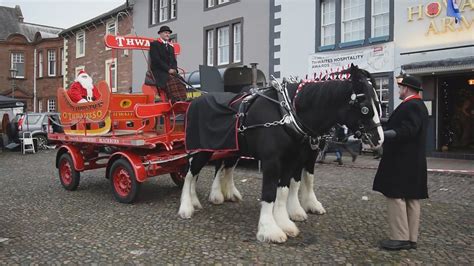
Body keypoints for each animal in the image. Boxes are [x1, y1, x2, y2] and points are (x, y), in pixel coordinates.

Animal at [180, 65, 384, 243]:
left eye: (379, 103)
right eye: (365, 106)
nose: (380, 140)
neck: (288, 114)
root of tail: (196, 100)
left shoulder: (296, 158)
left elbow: (288, 188)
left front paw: (287, 219)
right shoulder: (273, 161)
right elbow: (270, 192)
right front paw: (269, 229)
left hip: (232, 148)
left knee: (223, 168)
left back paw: (219, 195)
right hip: (203, 149)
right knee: (192, 173)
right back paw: (188, 206)